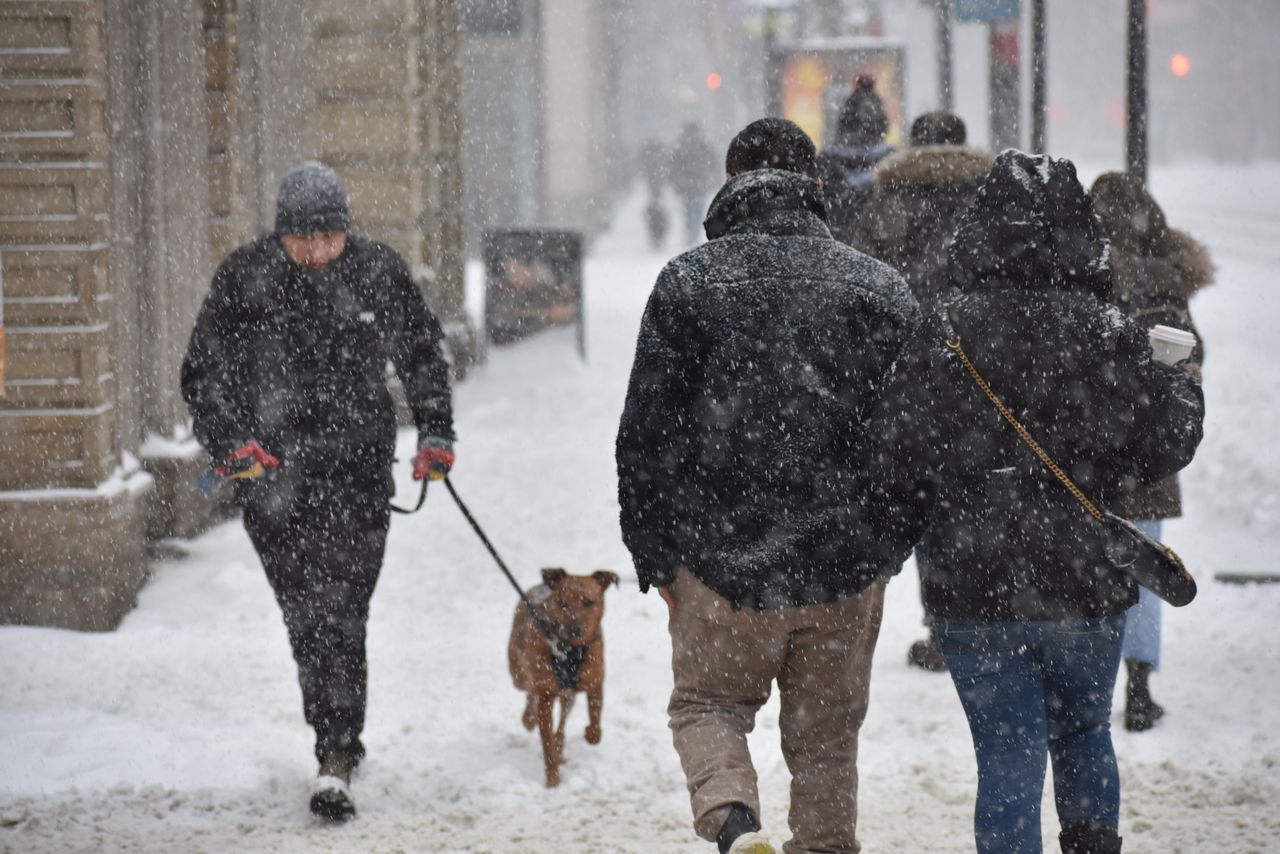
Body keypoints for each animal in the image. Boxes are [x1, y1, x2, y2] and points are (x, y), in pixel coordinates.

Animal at [506, 568, 616, 788]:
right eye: (562, 602)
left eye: (589, 602)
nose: (574, 630)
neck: (570, 651)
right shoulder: (546, 696)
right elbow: (546, 739)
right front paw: (552, 778)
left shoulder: (594, 680)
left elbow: (595, 713)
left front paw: (591, 733)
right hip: (518, 673)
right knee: (529, 690)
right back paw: (529, 718)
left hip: (567, 693)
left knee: (564, 713)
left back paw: (560, 746)